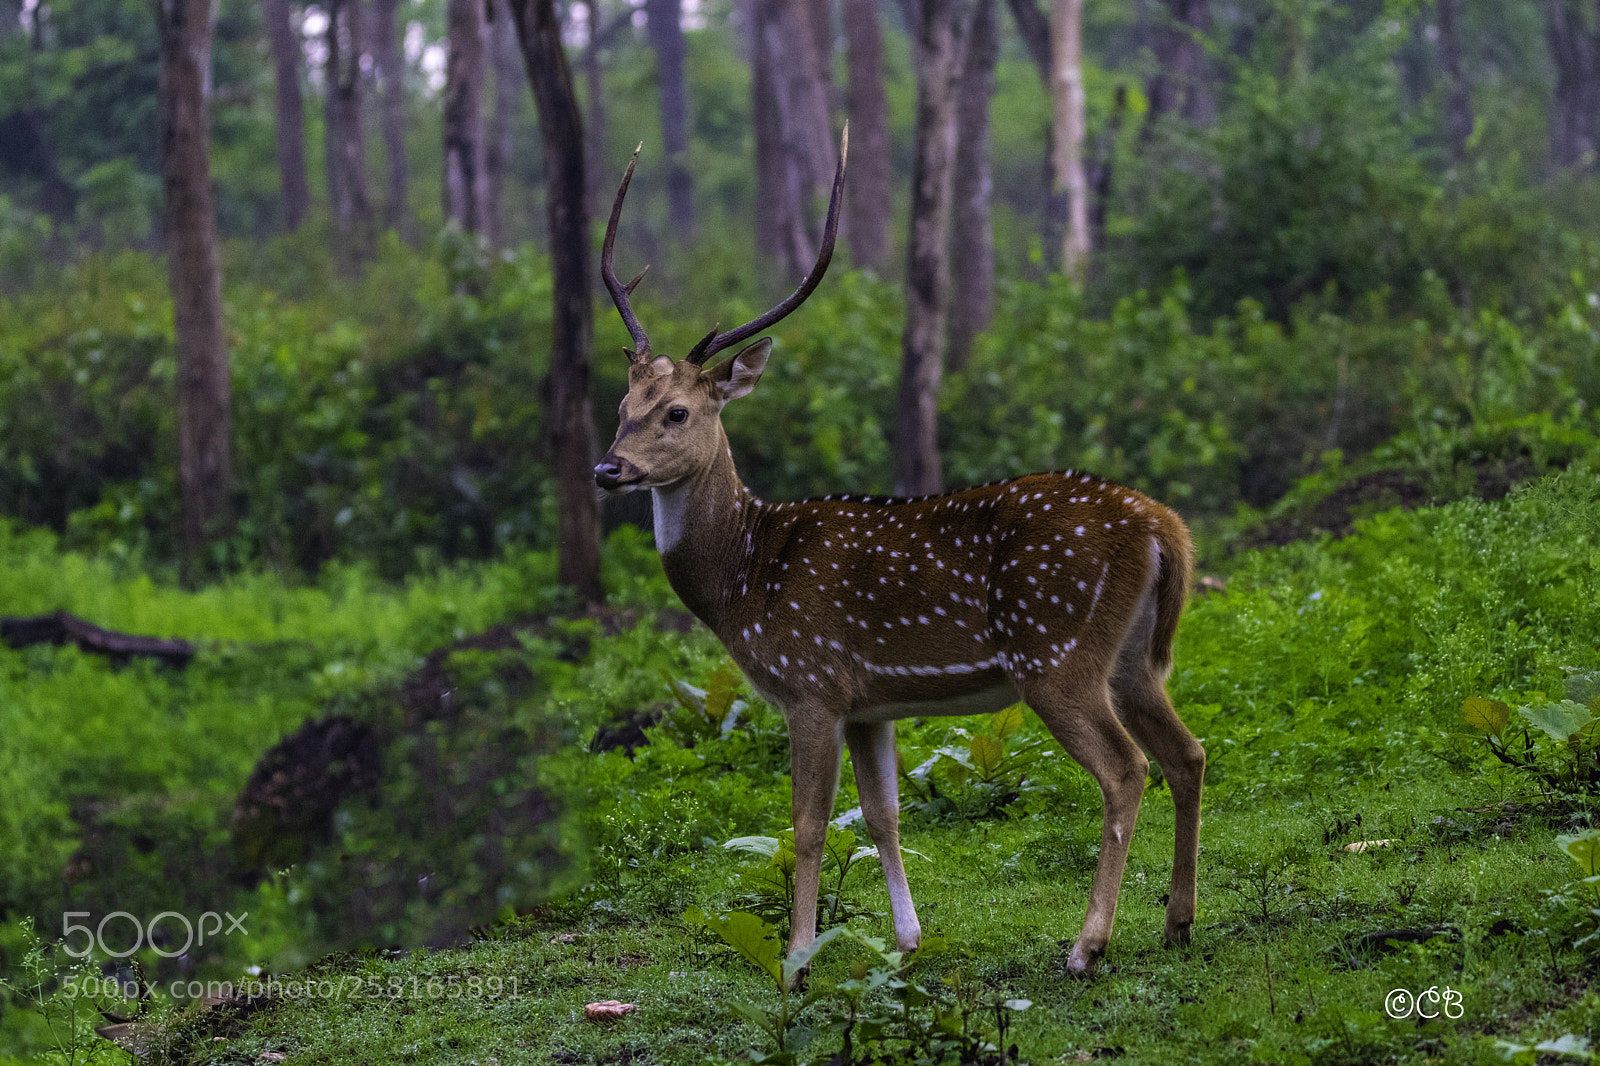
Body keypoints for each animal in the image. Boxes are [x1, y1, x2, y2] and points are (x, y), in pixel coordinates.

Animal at [592, 128, 1206, 978]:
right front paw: (908, 942)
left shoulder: (812, 683)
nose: (606, 468)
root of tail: (1163, 528)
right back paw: (1177, 922)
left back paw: (1087, 945)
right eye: (623, 406)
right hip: (1135, 658)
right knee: (1189, 754)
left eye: (678, 412)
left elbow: (808, 825)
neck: (746, 580)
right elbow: (883, 814)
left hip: (1057, 653)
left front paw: (798, 959)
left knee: (1125, 769)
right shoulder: (868, 703)